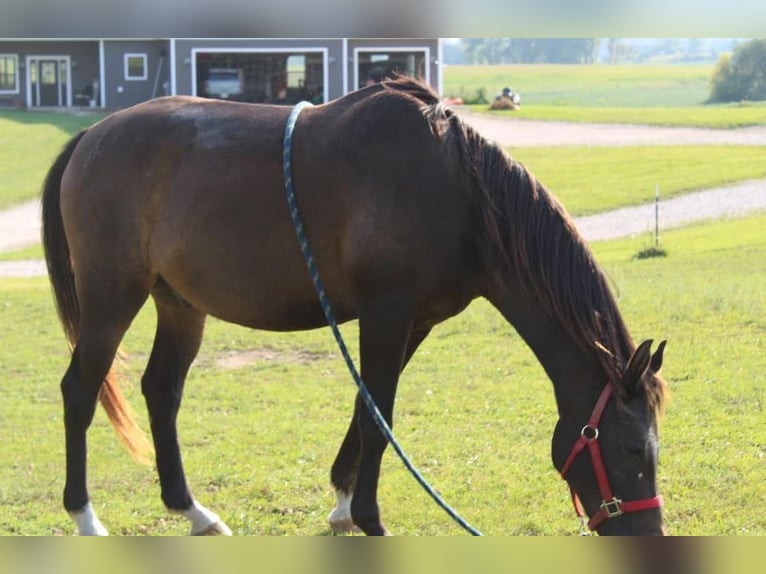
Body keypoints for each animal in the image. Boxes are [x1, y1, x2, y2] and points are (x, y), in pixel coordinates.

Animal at [42, 76, 668, 536]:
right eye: (633, 447)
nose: (648, 535)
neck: (456, 191)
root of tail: (90, 137)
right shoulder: (386, 311)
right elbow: (377, 417)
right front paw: (370, 520)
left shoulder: (417, 319)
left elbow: (366, 409)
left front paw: (344, 506)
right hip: (112, 295)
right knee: (79, 390)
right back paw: (86, 518)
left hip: (178, 303)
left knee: (162, 390)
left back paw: (193, 511)